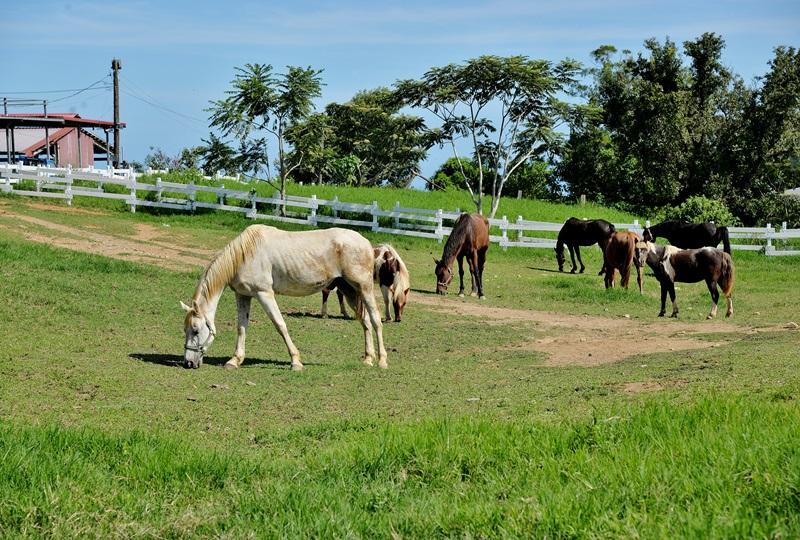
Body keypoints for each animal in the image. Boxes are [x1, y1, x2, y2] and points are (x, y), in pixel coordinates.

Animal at [185, 225, 390, 372]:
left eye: (195, 330)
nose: (188, 363)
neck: (245, 254)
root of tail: (366, 244)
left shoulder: (264, 293)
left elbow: (280, 325)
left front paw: (296, 362)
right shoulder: (243, 295)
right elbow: (242, 327)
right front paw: (234, 361)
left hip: (364, 288)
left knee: (375, 321)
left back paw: (382, 361)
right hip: (349, 291)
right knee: (365, 322)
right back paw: (368, 359)